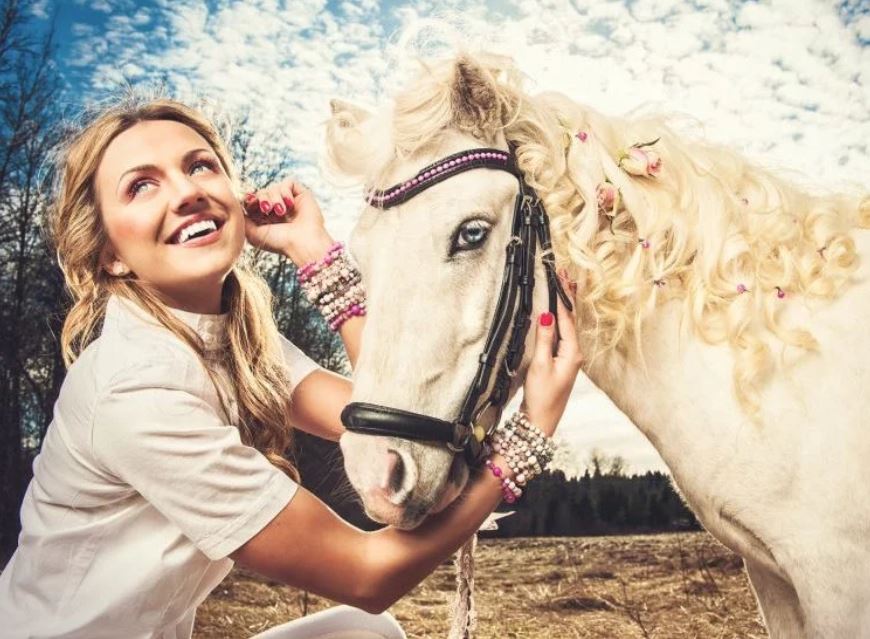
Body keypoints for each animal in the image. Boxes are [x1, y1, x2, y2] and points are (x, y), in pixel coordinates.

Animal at [326, 52, 870, 636]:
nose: (375, 475)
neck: (766, 357)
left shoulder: (834, 580)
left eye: (471, 233)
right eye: (362, 255)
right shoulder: (773, 577)